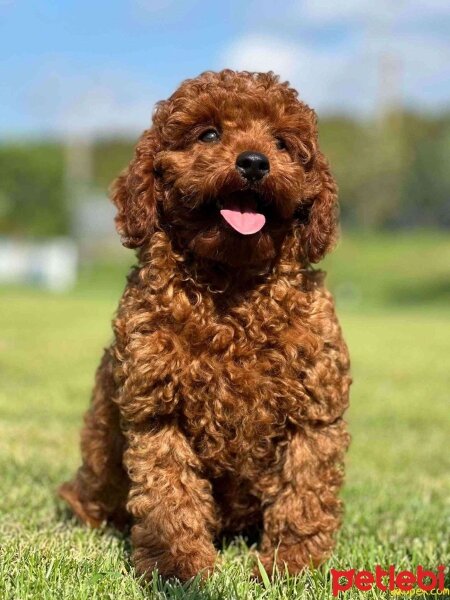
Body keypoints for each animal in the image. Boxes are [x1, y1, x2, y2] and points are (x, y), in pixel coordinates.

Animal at [58, 69, 350, 580]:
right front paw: (179, 567)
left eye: (281, 142)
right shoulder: (156, 407)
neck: (232, 285)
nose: (253, 162)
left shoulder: (314, 407)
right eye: (209, 134)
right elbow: (169, 493)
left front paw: (289, 564)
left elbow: (303, 491)